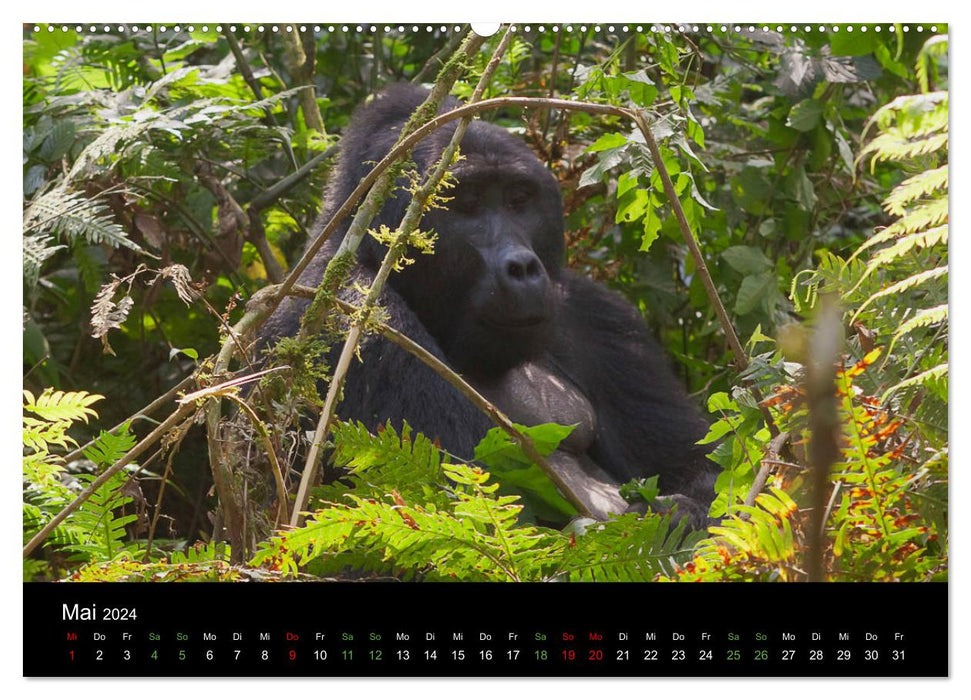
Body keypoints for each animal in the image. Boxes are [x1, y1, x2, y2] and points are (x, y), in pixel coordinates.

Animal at [262, 83, 716, 524]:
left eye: (518, 199)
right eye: (467, 205)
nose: (523, 267)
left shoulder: (601, 316)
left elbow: (697, 465)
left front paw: (678, 514)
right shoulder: (349, 316)